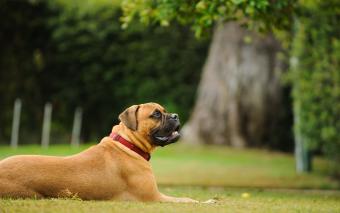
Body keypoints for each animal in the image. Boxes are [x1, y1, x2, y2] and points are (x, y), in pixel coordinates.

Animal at [0, 102, 197, 202]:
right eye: (156, 114)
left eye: (165, 111)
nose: (176, 116)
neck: (128, 144)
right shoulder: (155, 198)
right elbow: (187, 200)